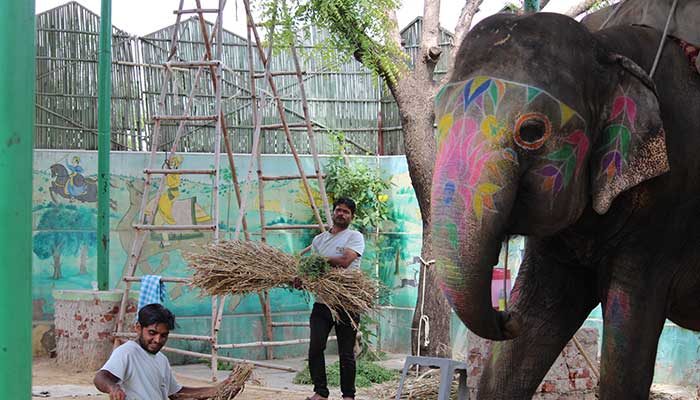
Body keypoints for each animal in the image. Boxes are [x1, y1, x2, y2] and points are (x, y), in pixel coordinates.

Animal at [430, 10, 700, 398]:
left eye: (531, 132)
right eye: (437, 117)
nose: (505, 315)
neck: (606, 48)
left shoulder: (665, 214)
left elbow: (627, 346)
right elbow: (530, 331)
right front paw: (521, 325)